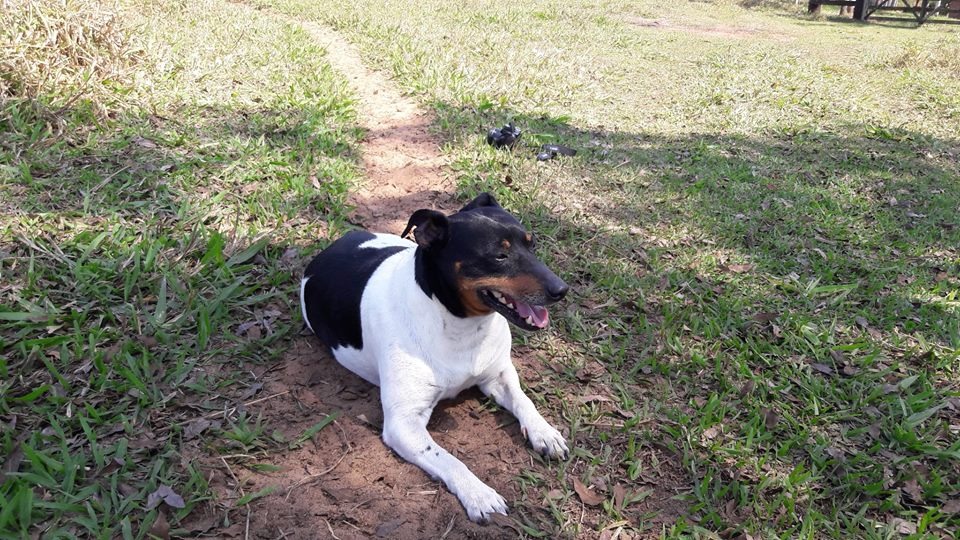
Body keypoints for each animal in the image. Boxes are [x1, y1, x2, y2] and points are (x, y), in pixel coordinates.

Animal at [300, 194, 568, 524]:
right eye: (499, 256)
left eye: (532, 245)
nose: (561, 290)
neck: (458, 324)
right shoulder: (404, 424)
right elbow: (450, 459)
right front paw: (478, 493)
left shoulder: (498, 375)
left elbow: (523, 400)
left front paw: (544, 431)